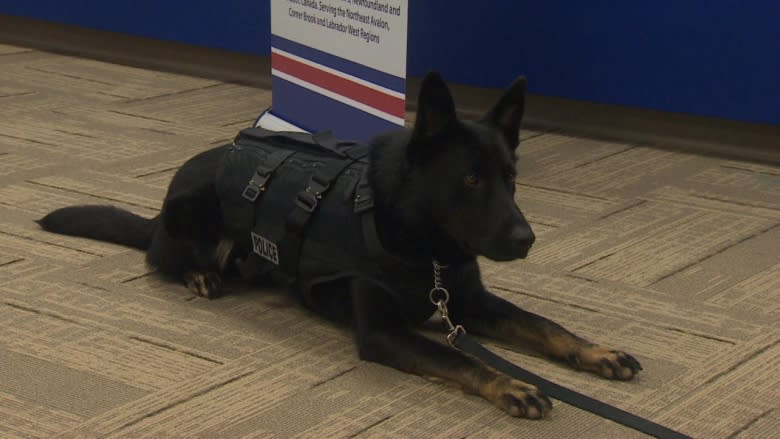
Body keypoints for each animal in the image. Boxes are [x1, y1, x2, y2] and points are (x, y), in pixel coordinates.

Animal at [38, 72, 640, 420]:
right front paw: (510, 382)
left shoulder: (469, 302)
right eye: (470, 179)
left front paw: (597, 352)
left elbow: (545, 325)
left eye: (511, 178)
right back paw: (200, 275)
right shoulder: (382, 332)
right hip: (192, 213)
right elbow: (457, 355)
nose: (526, 239)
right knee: (162, 257)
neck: (424, 246)